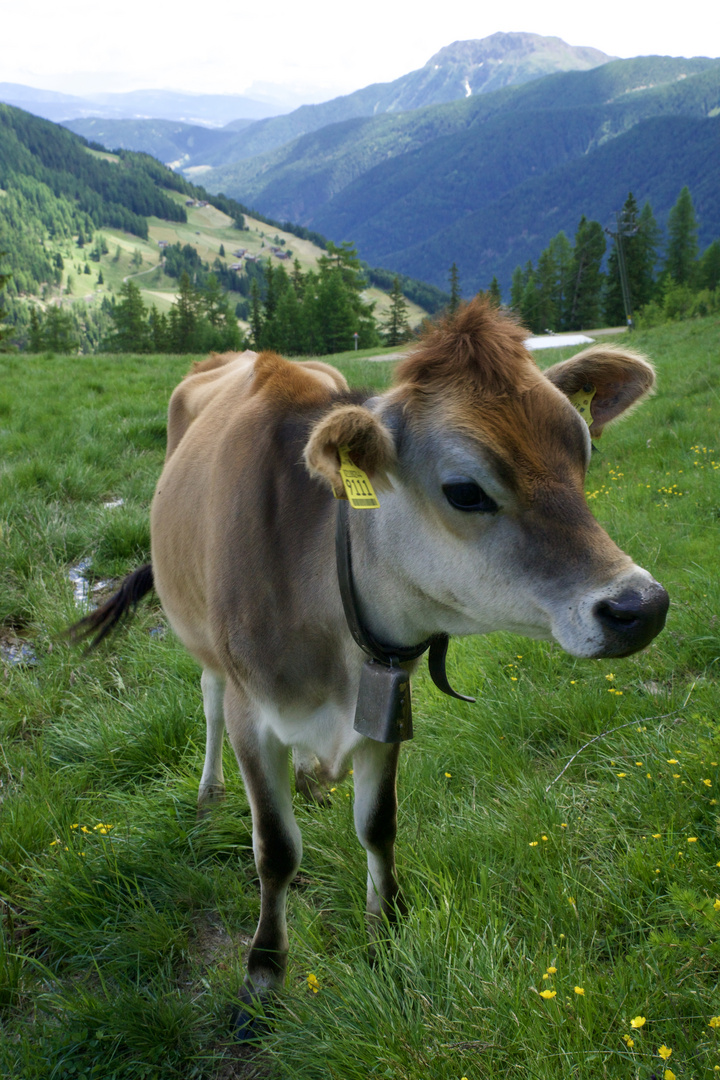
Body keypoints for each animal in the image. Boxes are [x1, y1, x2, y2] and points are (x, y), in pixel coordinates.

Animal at [73, 298, 669, 1036]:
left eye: (583, 456)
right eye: (465, 491)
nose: (640, 605)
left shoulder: (387, 703)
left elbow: (379, 825)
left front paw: (387, 929)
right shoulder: (253, 713)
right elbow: (275, 848)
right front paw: (263, 973)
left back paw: (310, 780)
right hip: (201, 639)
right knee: (207, 697)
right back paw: (211, 792)